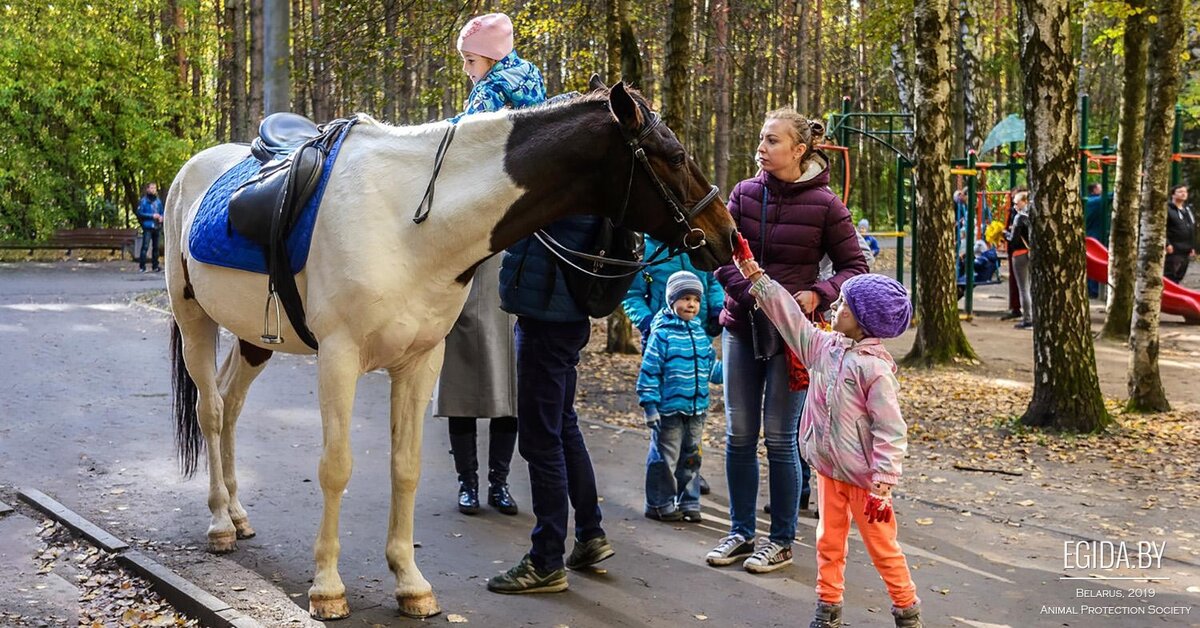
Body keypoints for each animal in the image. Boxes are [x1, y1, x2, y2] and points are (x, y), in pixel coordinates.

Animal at [164, 77, 734, 619]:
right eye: (674, 155)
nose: (726, 235)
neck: (408, 222)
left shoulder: (420, 361)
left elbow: (406, 466)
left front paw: (410, 583)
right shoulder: (338, 358)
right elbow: (336, 466)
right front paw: (327, 586)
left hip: (252, 339)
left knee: (231, 405)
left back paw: (238, 514)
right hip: (195, 321)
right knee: (211, 411)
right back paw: (220, 521)